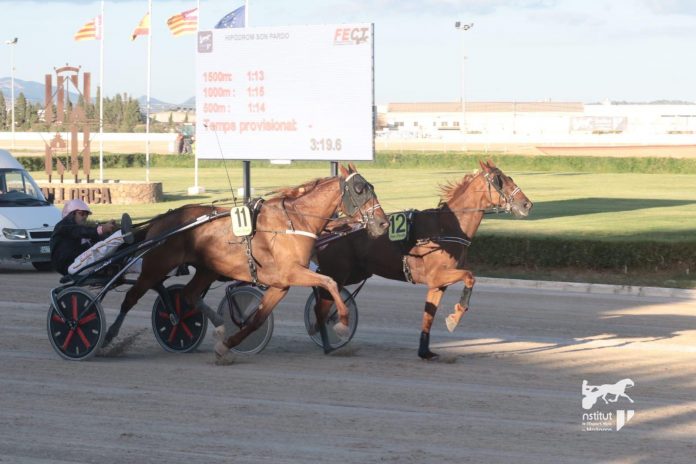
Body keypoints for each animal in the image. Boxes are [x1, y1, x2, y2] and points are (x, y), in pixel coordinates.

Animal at [106, 165, 394, 358]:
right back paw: (108, 337)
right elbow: (330, 283)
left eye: (371, 187)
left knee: (188, 294)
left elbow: (257, 318)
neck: (295, 222)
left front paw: (227, 344)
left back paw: (218, 324)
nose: (383, 223)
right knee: (130, 297)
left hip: (207, 269)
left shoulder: (280, 284)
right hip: (155, 267)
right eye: (360, 189)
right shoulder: (292, 272)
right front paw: (342, 324)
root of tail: (161, 220)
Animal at [310, 161, 532, 360]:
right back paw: (327, 342)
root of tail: (329, 229)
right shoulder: (438, 275)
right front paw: (454, 317)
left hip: (355, 273)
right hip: (338, 273)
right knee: (320, 306)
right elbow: (470, 277)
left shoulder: (437, 284)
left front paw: (425, 350)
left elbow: (428, 316)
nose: (526, 204)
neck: (447, 227)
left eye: (508, 177)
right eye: (498, 181)